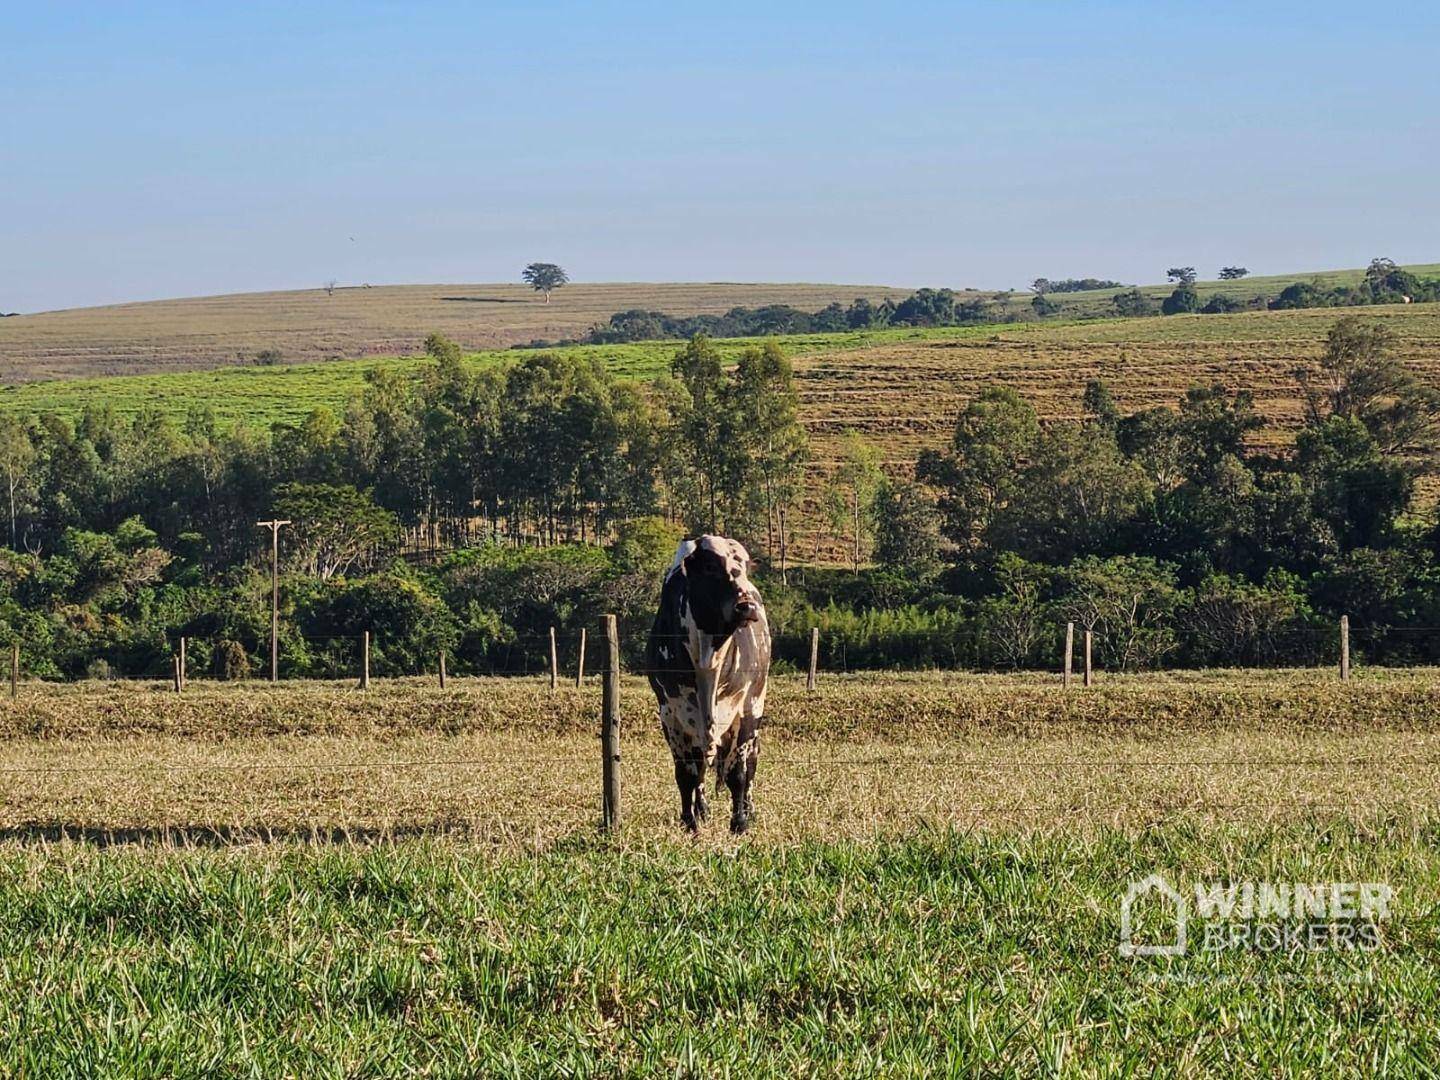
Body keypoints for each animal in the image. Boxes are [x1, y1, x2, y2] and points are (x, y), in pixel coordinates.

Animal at [648, 538, 771, 835]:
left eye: (745, 566)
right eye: (710, 567)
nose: (747, 606)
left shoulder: (745, 710)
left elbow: (738, 773)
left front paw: (739, 823)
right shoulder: (671, 715)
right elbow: (686, 775)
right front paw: (689, 822)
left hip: (756, 706)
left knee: (750, 762)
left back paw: (749, 809)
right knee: (701, 767)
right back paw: (701, 810)